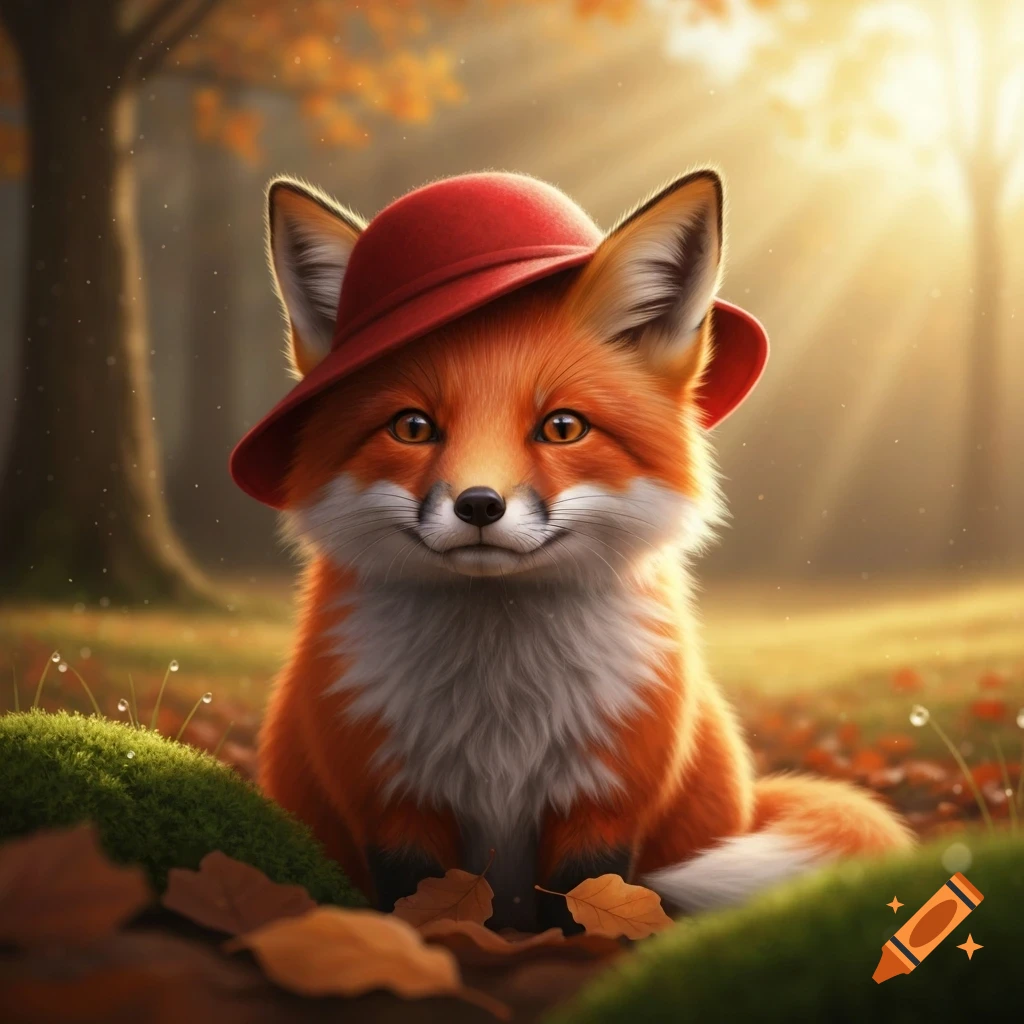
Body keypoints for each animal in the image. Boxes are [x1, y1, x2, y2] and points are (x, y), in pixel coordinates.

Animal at [251, 169, 913, 933]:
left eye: (562, 426)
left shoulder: (603, 801)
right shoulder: (392, 802)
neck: (499, 711)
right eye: (412, 427)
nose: (479, 505)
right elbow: (418, 911)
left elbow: (588, 913)